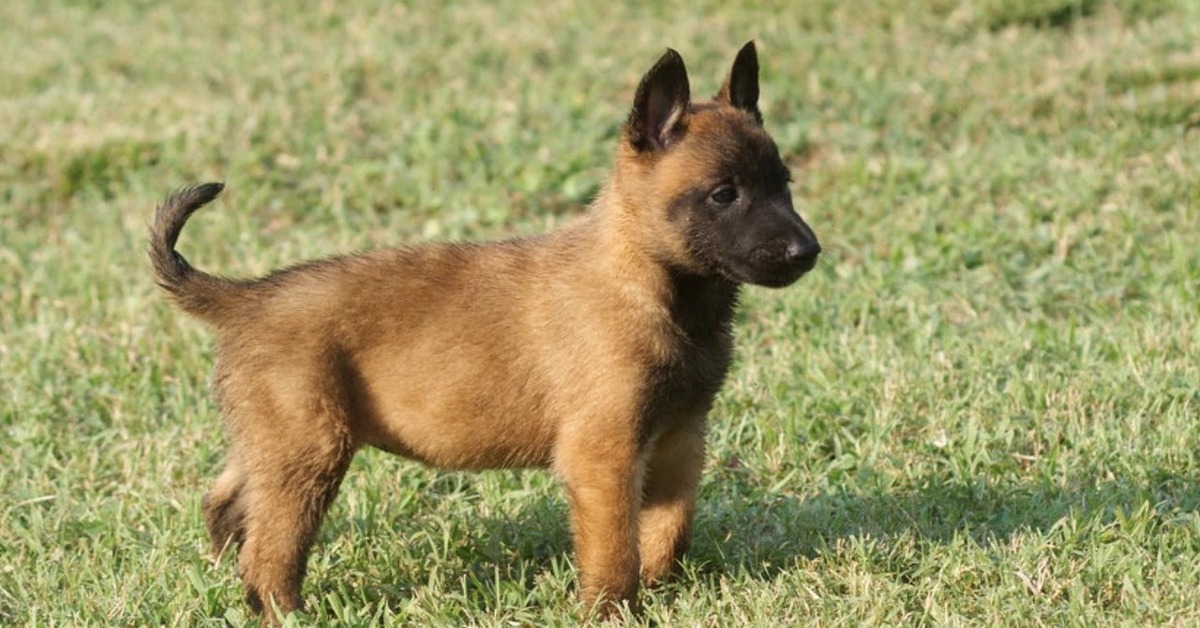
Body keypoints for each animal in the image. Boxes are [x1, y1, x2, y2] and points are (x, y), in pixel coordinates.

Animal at [150, 41, 820, 619]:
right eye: (724, 194)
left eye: (784, 185)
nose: (808, 251)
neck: (649, 284)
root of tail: (247, 296)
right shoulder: (602, 455)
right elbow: (614, 550)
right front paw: (611, 611)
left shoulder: (681, 437)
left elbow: (669, 529)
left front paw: (662, 591)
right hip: (310, 452)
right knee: (269, 553)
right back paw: (286, 611)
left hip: (275, 441)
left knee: (228, 503)